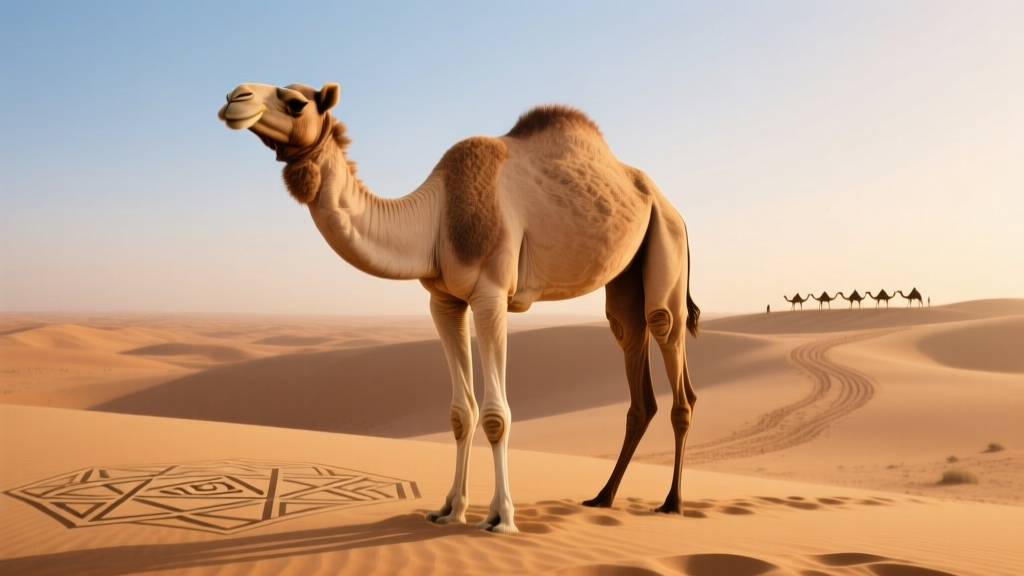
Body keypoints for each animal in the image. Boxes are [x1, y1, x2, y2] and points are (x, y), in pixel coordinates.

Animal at [218, 83, 700, 534]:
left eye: (296, 102)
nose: (234, 97)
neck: (436, 216)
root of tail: (671, 206)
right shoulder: (444, 302)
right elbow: (460, 413)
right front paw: (450, 510)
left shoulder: (491, 295)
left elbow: (495, 415)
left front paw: (500, 518)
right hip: (627, 275)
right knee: (630, 346)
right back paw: (602, 497)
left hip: (666, 237)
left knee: (666, 336)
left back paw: (672, 503)